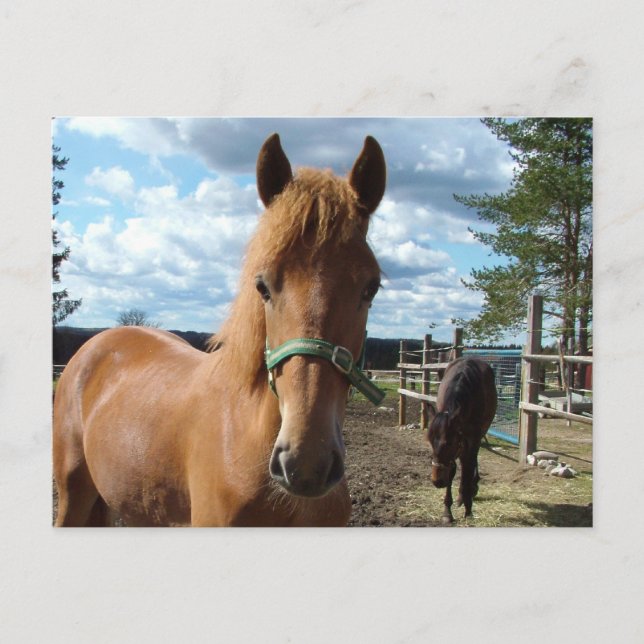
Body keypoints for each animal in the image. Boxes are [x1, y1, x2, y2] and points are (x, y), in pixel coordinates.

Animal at [426, 357, 497, 524]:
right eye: (429, 442)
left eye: (449, 443)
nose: (437, 481)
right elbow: (452, 471)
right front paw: (447, 512)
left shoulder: (471, 439)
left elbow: (467, 469)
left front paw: (468, 510)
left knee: (471, 463)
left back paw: (470, 490)